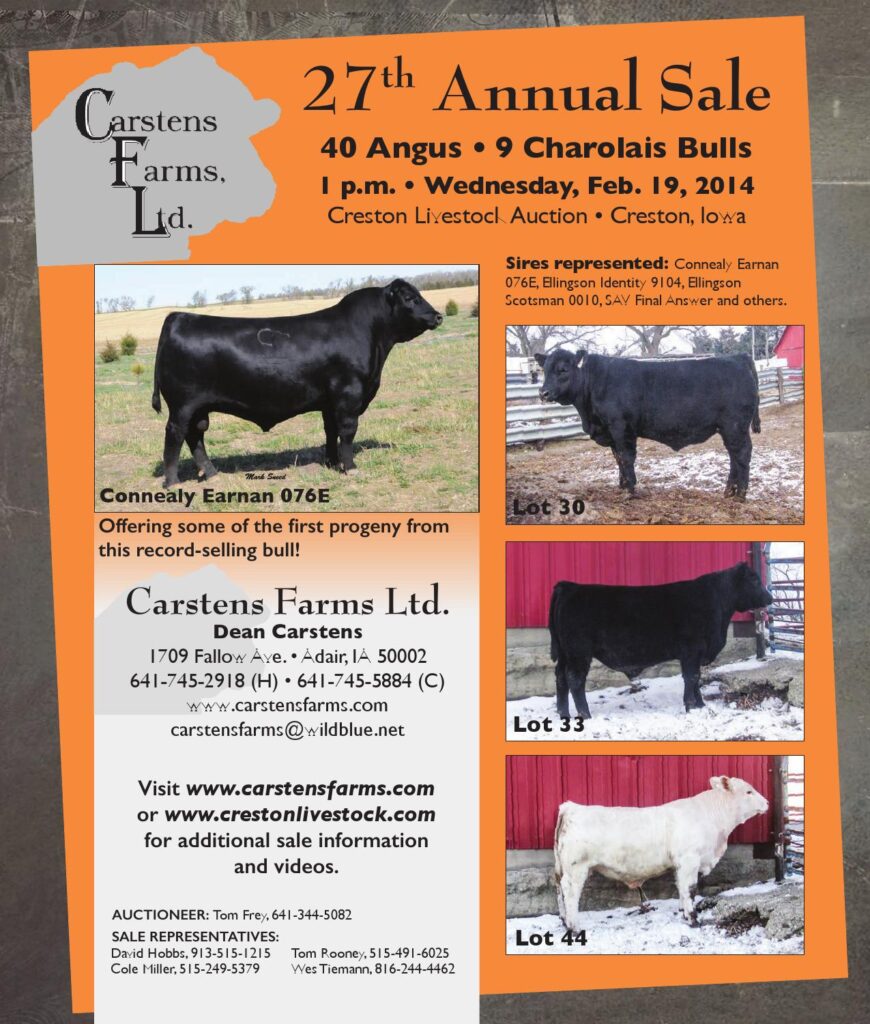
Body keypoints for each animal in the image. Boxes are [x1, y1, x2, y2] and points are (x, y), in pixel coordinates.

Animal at [151, 280, 443, 487]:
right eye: (410, 298)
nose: (438, 316)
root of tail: (179, 317)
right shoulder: (349, 395)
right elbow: (347, 431)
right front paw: (350, 468)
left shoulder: (329, 402)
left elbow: (330, 431)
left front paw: (332, 462)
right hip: (183, 405)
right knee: (175, 435)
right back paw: (173, 483)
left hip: (199, 408)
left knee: (196, 436)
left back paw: (212, 474)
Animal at [534, 349, 761, 500]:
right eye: (544, 369)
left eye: (563, 369)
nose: (543, 393)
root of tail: (739, 357)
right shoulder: (611, 432)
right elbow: (618, 458)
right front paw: (622, 486)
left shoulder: (621, 427)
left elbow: (626, 457)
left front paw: (631, 491)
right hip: (729, 429)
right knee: (734, 456)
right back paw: (729, 491)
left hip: (735, 426)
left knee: (741, 455)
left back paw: (740, 495)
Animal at [548, 562, 773, 718]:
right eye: (754, 579)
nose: (770, 598)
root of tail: (569, 586)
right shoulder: (692, 649)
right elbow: (691, 677)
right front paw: (690, 705)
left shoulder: (694, 654)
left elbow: (696, 677)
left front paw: (699, 704)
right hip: (578, 652)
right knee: (575, 679)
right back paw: (585, 715)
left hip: (566, 653)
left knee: (560, 677)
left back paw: (563, 713)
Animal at [554, 776, 769, 931]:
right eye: (748, 791)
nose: (767, 802)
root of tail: (572, 807)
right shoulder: (690, 859)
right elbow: (690, 889)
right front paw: (693, 920)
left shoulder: (679, 864)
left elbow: (680, 887)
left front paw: (683, 913)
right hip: (576, 867)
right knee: (570, 892)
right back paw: (574, 927)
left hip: (563, 867)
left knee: (559, 889)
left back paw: (564, 921)